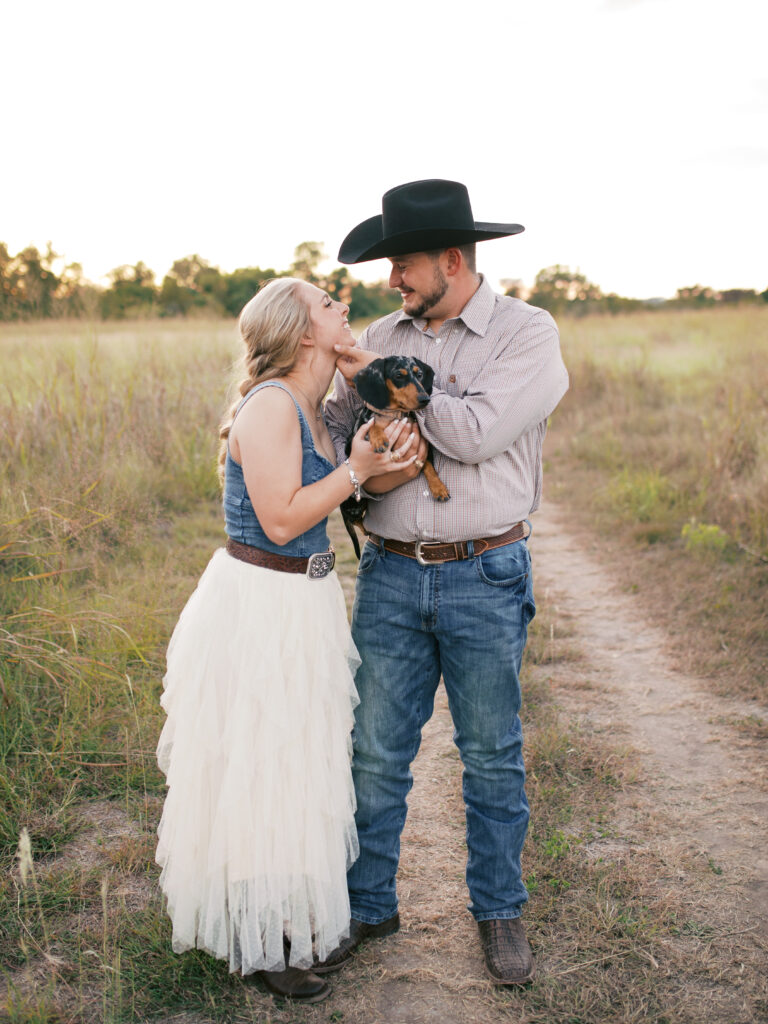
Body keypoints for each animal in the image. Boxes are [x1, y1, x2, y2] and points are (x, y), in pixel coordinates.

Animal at [339, 356, 448, 557]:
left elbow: (429, 466)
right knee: (356, 521)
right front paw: (379, 438)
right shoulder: (361, 432)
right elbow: (372, 424)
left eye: (419, 374)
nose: (425, 399)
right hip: (355, 506)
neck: (396, 415)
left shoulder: (424, 446)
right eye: (398, 375)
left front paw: (439, 488)